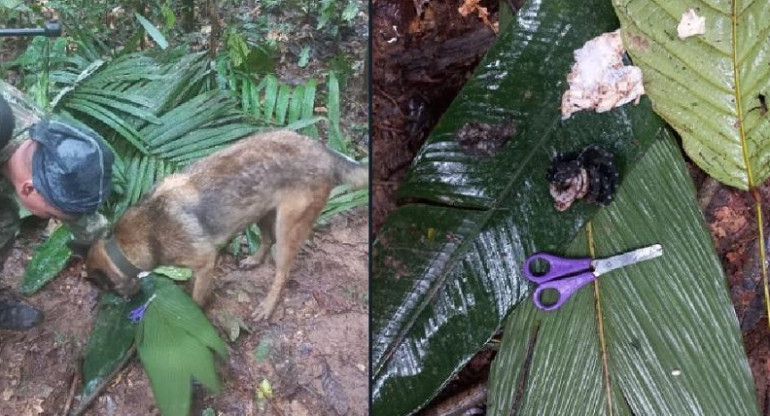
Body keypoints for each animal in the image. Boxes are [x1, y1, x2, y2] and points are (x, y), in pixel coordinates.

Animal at [84, 130, 366, 318]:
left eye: (108, 289)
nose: (129, 300)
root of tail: (323, 151)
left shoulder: (206, 262)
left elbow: (197, 298)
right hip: (261, 212)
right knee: (267, 240)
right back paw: (254, 260)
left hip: (288, 228)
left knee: (282, 271)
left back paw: (267, 305)